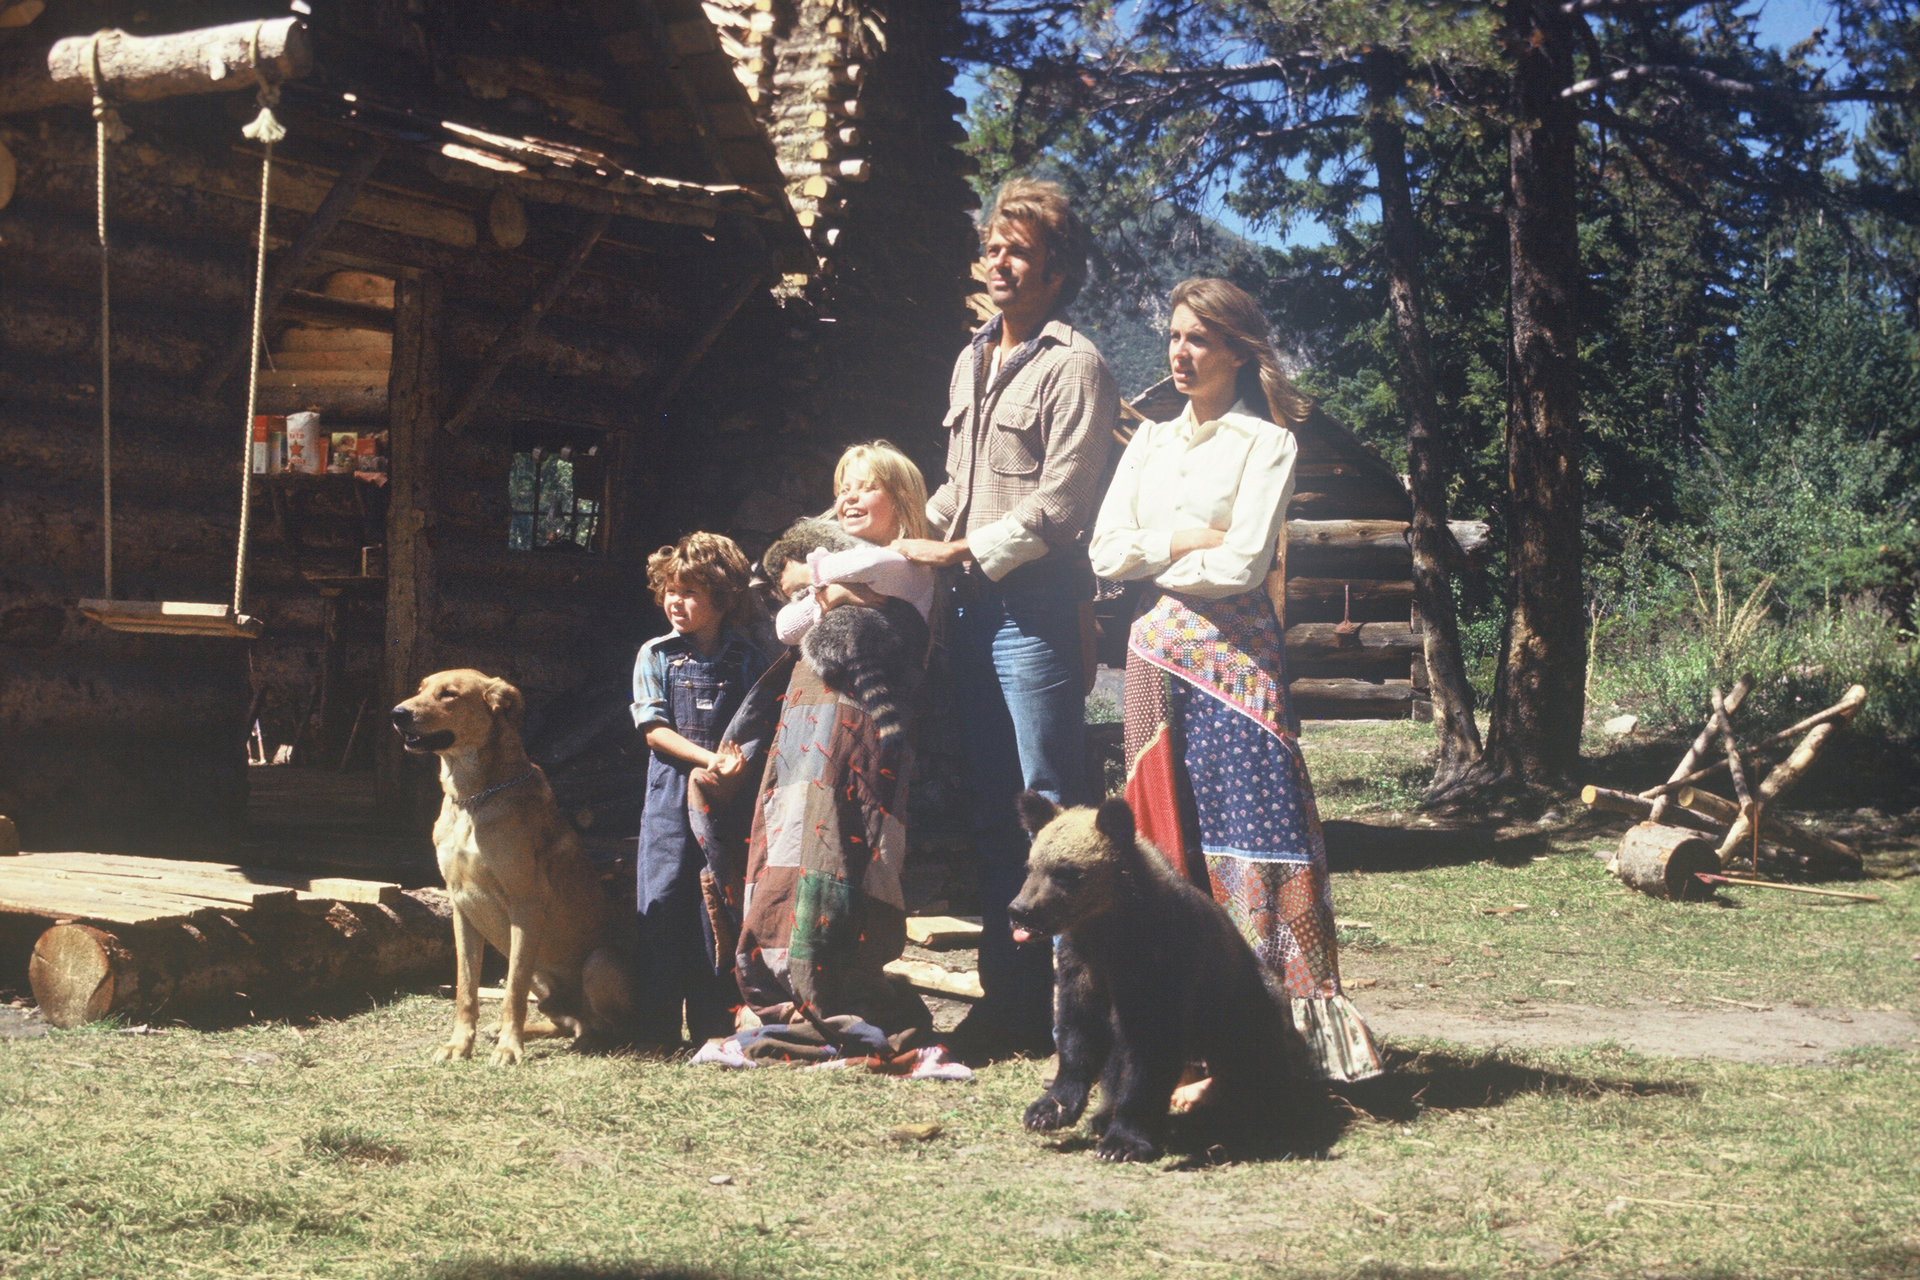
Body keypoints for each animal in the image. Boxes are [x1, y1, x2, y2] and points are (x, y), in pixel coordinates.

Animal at [391, 667, 637, 1066]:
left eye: (449, 694)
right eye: (421, 689)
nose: (397, 714)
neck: (473, 799)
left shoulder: (525, 907)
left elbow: (513, 994)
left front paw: (509, 1048)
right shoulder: (462, 908)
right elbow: (466, 989)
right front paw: (461, 1044)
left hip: (600, 963)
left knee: (615, 1028)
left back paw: (589, 1041)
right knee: (565, 1021)